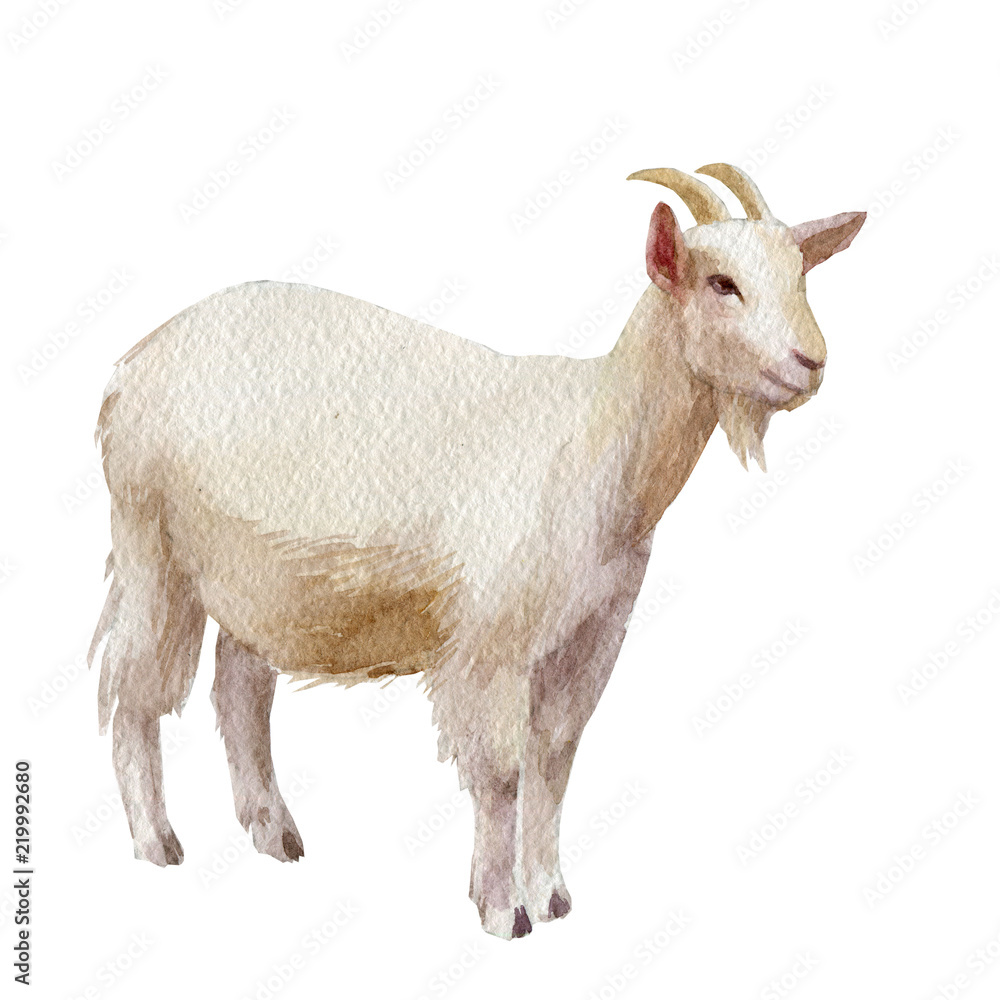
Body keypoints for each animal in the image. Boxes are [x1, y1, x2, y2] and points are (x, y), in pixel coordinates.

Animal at [89, 163, 865, 938]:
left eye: (800, 275)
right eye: (721, 283)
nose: (811, 363)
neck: (592, 441)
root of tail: (131, 367)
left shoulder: (590, 635)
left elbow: (555, 757)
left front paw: (552, 896)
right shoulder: (490, 644)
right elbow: (502, 772)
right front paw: (502, 908)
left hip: (263, 576)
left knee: (240, 690)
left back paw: (273, 831)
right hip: (152, 545)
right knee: (134, 688)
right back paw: (157, 843)